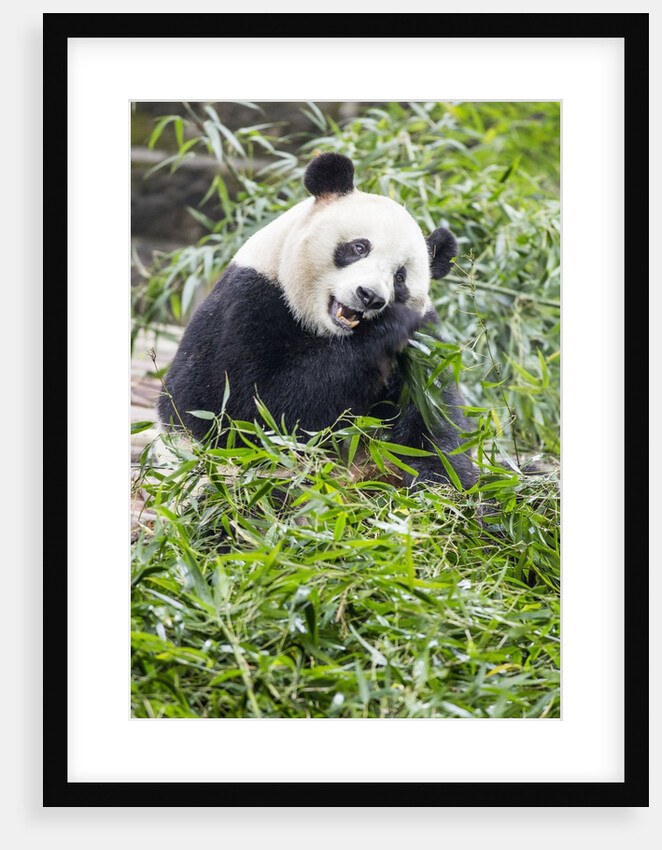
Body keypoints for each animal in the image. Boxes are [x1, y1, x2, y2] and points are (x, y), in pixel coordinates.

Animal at [157, 152, 476, 490]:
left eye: (400, 277)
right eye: (359, 247)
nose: (370, 296)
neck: (329, 333)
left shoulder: (425, 349)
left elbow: (434, 421)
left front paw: (441, 484)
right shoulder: (243, 309)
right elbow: (250, 413)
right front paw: (390, 326)